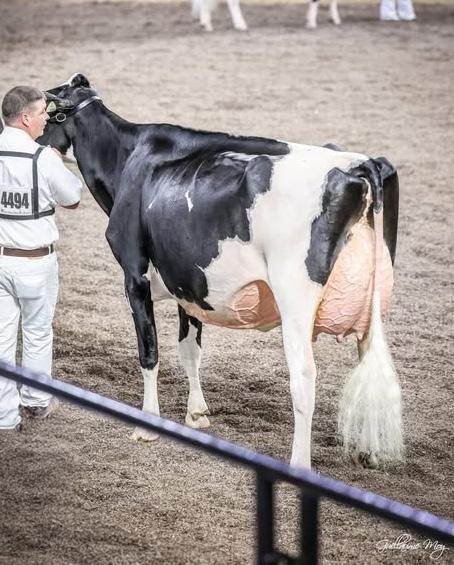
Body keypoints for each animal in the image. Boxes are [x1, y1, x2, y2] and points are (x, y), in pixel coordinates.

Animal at [39, 73, 402, 469]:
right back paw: (368, 451)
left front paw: (148, 424)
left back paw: (299, 464)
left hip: (295, 297)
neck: (128, 159)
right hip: (373, 303)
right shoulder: (186, 281)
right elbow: (189, 349)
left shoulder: (134, 274)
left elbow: (149, 351)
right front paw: (196, 413)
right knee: (372, 367)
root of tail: (361, 163)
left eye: (48, 115)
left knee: (304, 375)